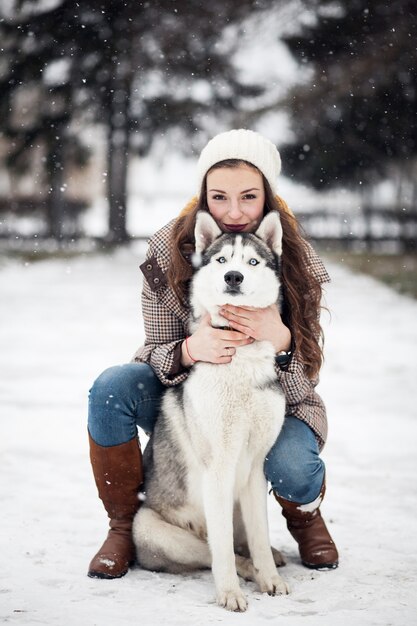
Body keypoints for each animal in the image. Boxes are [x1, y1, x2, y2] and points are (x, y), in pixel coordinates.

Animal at [133, 210, 290, 608]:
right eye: (221, 260)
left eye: (252, 262)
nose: (233, 276)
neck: (240, 357)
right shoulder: (218, 467)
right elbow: (221, 550)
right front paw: (231, 593)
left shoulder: (255, 467)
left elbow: (260, 536)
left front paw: (271, 579)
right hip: (150, 527)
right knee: (213, 549)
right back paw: (243, 570)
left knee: (244, 542)